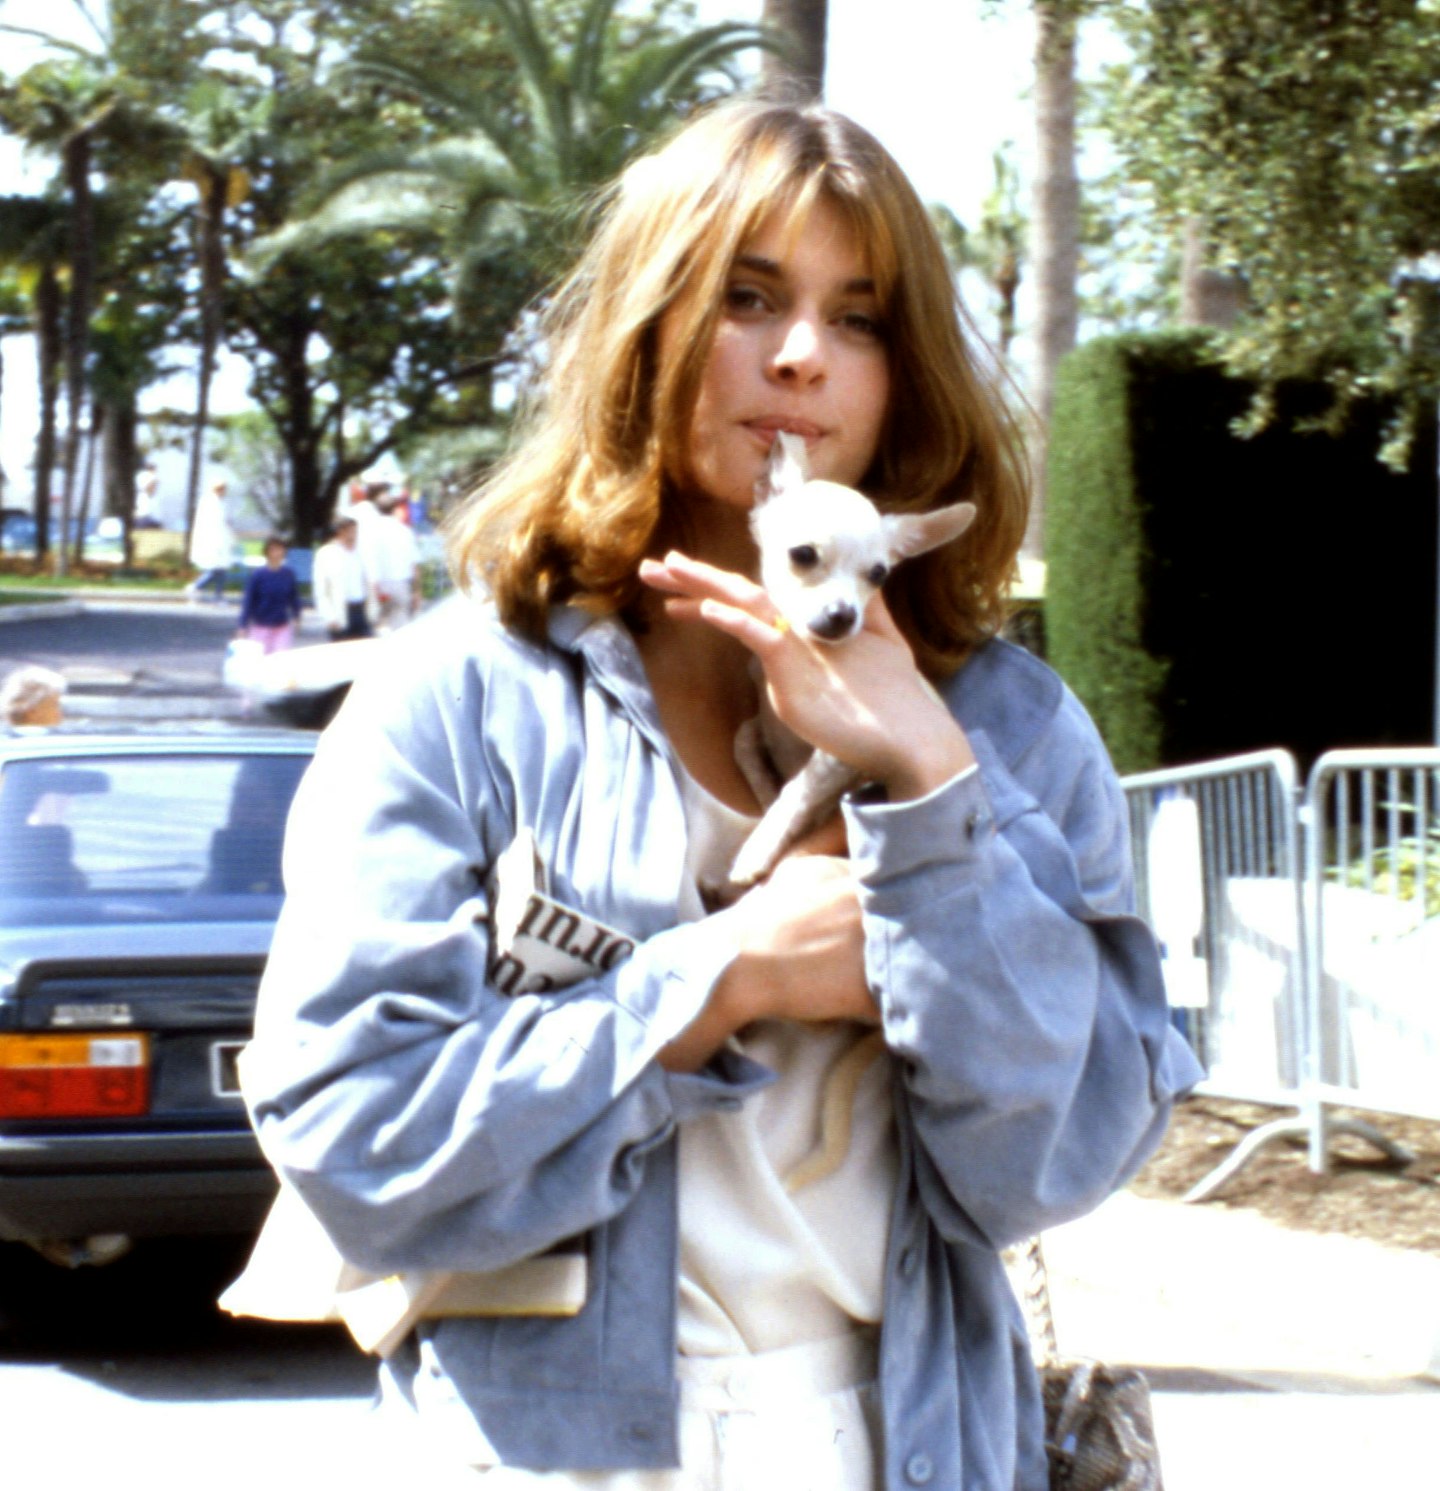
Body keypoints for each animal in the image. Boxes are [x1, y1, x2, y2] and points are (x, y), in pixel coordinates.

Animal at [733, 435, 977, 888]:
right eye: (803, 555)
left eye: (878, 575)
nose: (844, 615)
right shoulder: (762, 719)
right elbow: (743, 738)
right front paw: (762, 790)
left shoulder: (845, 753)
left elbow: (799, 789)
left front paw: (759, 845)